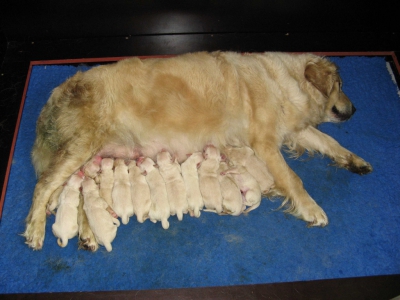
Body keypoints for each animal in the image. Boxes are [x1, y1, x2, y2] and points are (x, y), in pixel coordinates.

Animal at [24, 52, 372, 251]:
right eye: (340, 85)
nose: (355, 109)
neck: (283, 80)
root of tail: (55, 95)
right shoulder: (264, 143)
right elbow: (294, 179)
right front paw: (312, 208)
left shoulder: (293, 130)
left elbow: (329, 142)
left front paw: (354, 160)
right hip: (82, 146)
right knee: (43, 186)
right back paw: (35, 230)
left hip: (92, 158)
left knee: (79, 193)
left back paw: (88, 235)